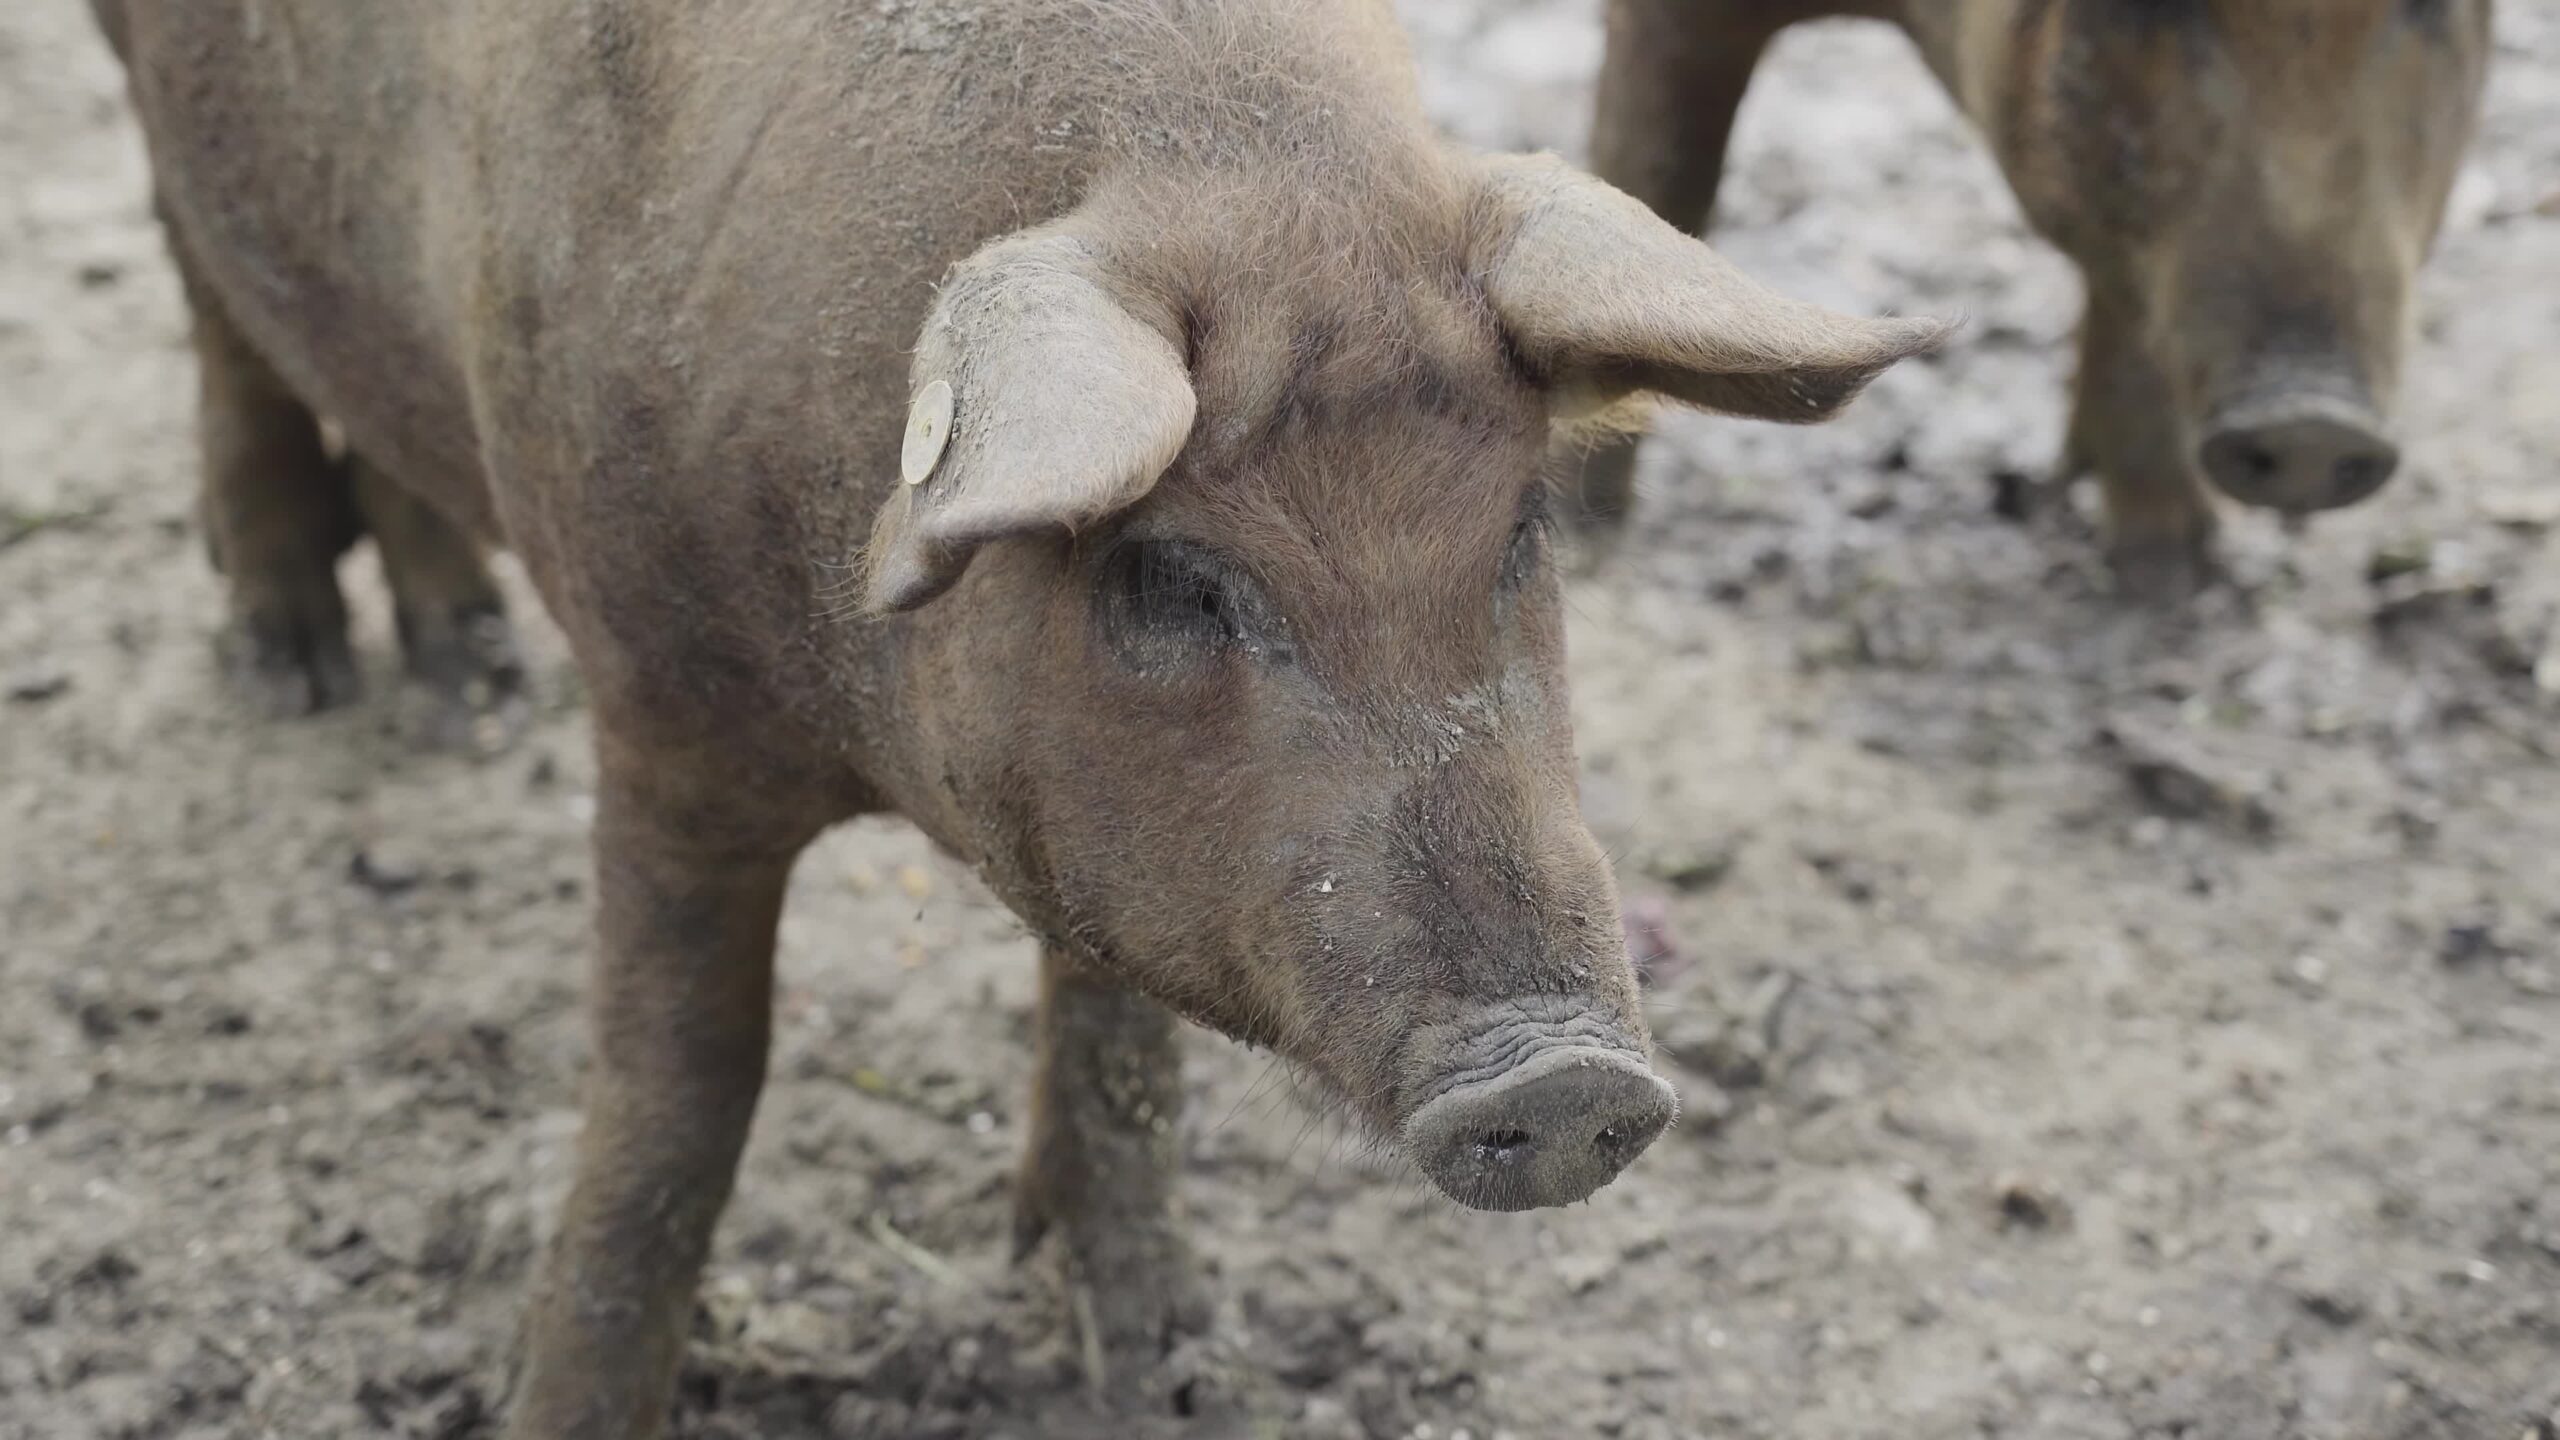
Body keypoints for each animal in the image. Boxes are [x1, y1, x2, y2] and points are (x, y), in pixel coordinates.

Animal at [91, 0, 1943, 1432]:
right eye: (1173, 576)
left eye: (1526, 527)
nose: (1564, 1076)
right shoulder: (654, 700)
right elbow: (683, 1091)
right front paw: (563, 1412)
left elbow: (1124, 1051)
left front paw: (1166, 1370)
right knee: (205, 285)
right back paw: (304, 672)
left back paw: (460, 667)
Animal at [1574, 0, 2493, 595]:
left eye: (2426, 3)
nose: (2311, 421)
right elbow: (1657, 188)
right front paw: (1595, 539)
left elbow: (2127, 303)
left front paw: (2169, 575)